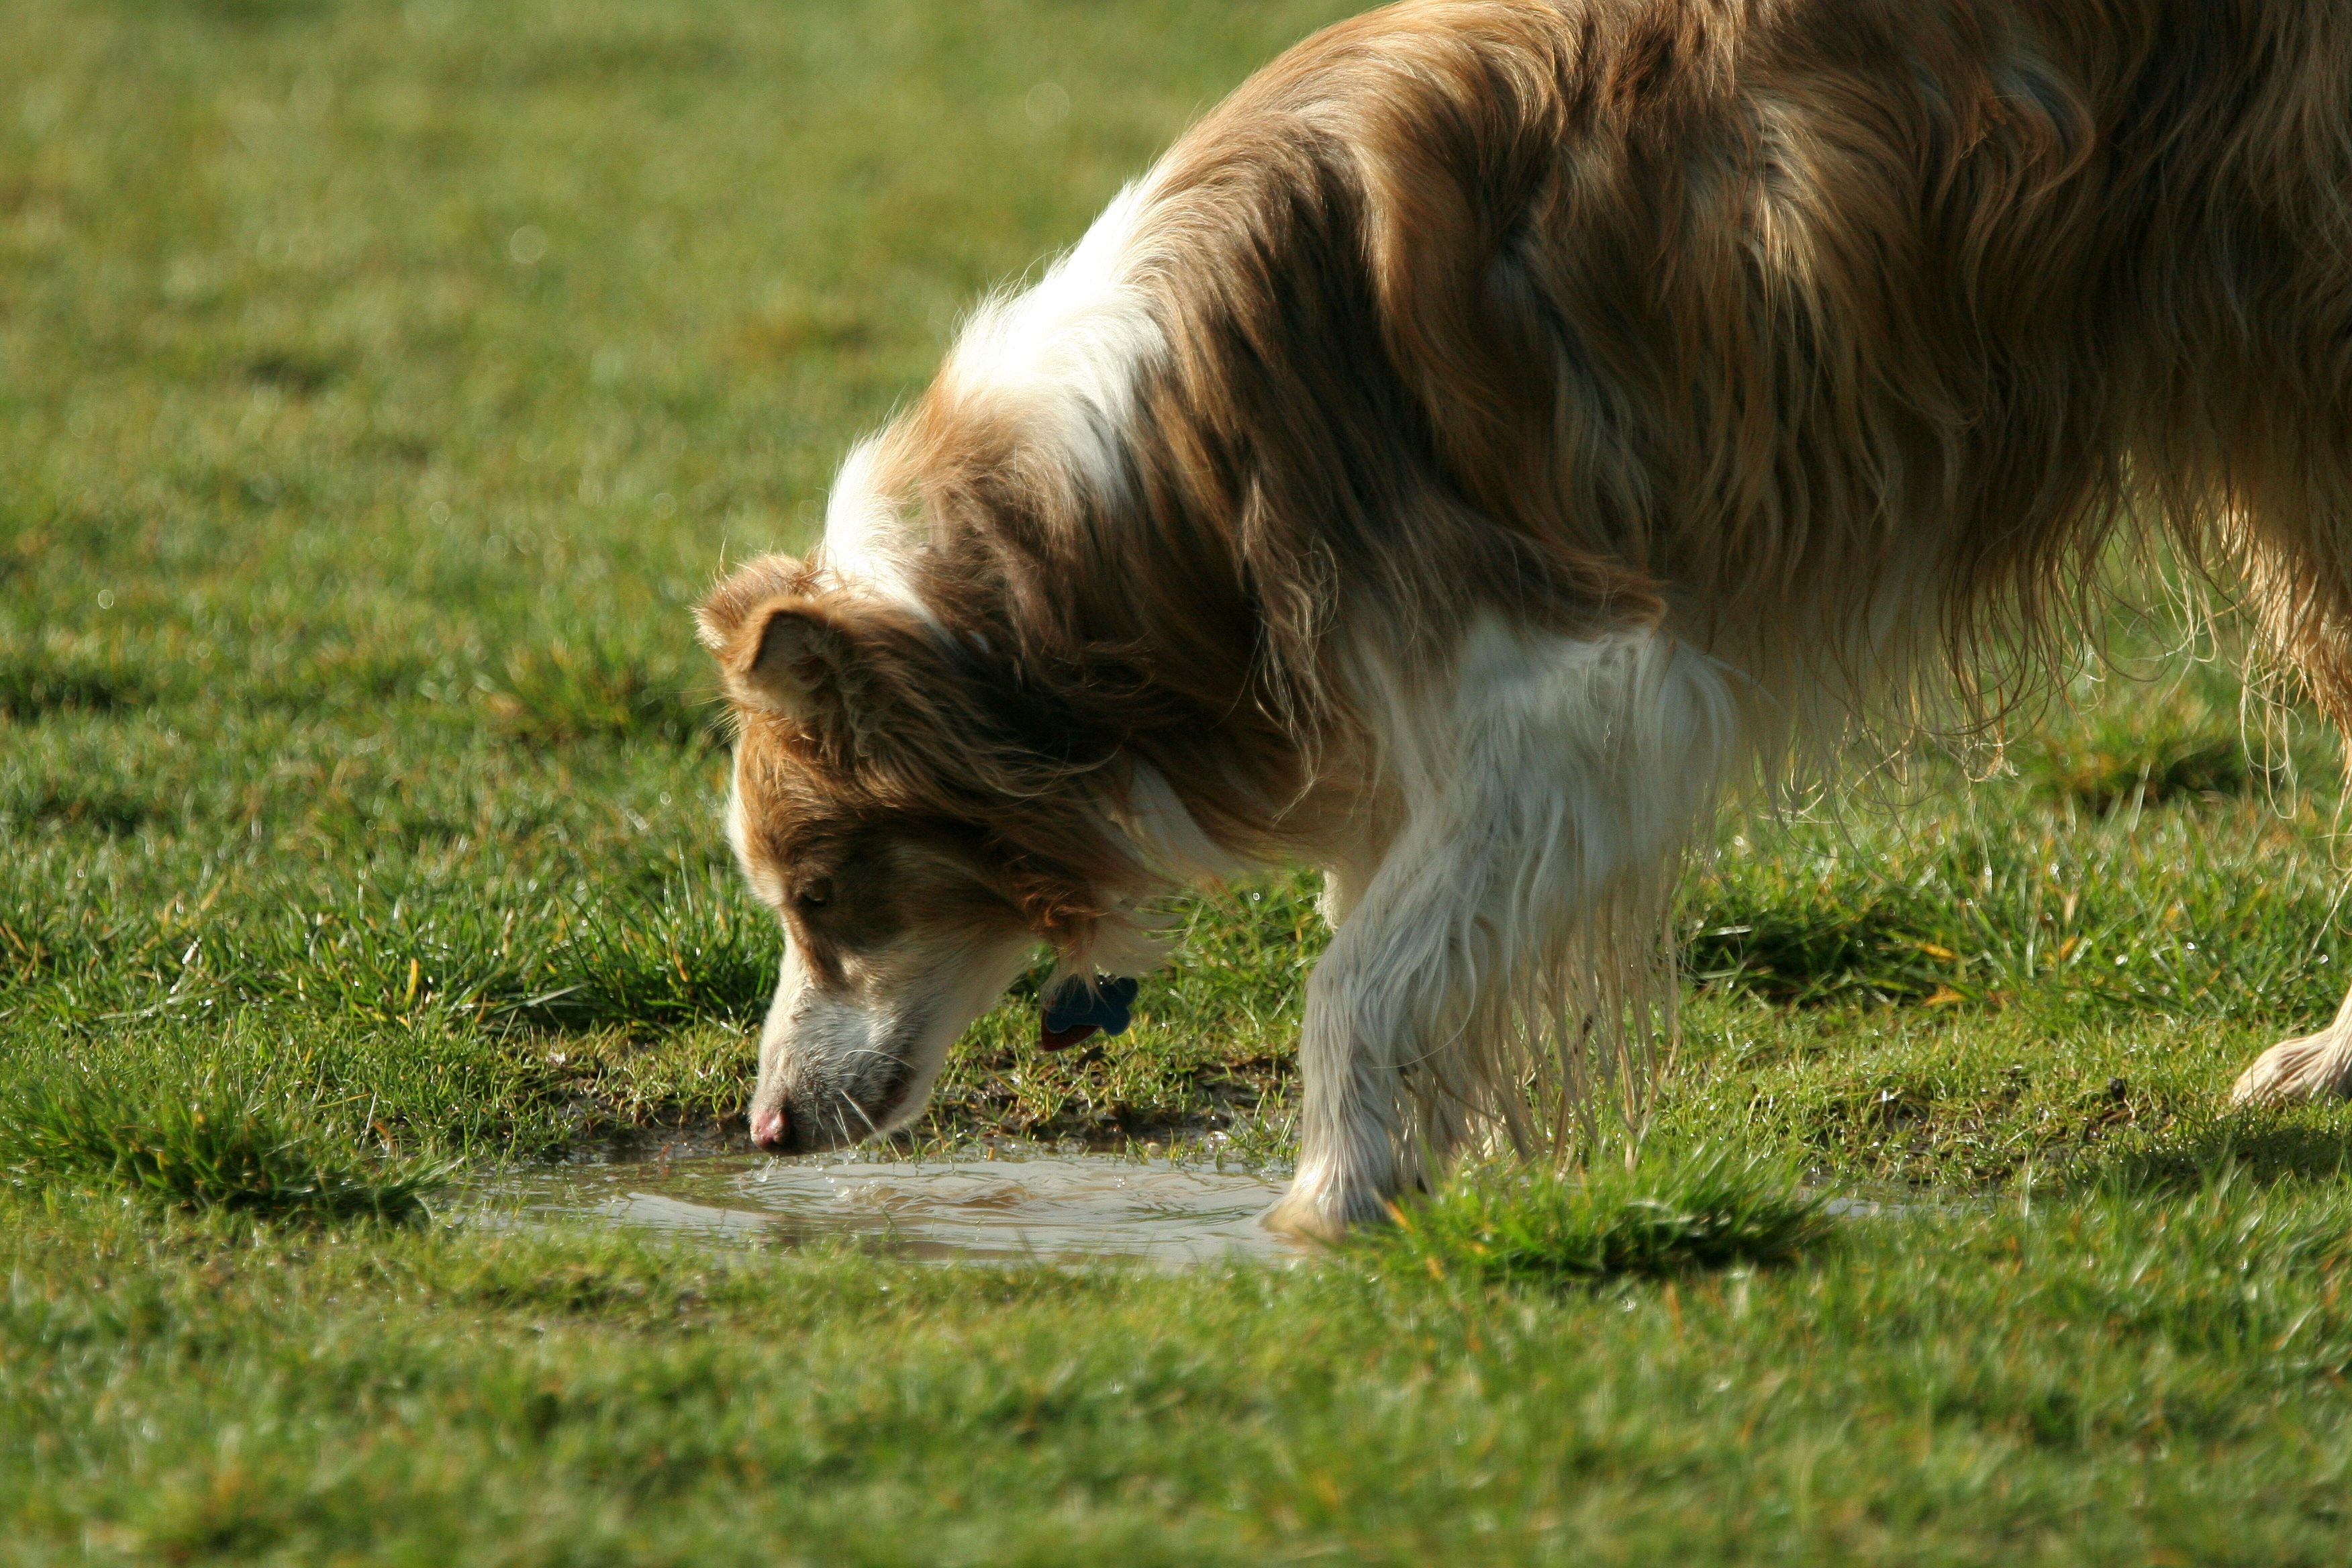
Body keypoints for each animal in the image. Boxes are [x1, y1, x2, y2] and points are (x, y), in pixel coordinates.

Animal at [696, 0, 2352, 1241]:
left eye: (823, 896)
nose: (765, 1129)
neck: (1157, 478)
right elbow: (1408, 943)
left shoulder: (1578, 680)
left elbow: (1359, 977)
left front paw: (1330, 1205)